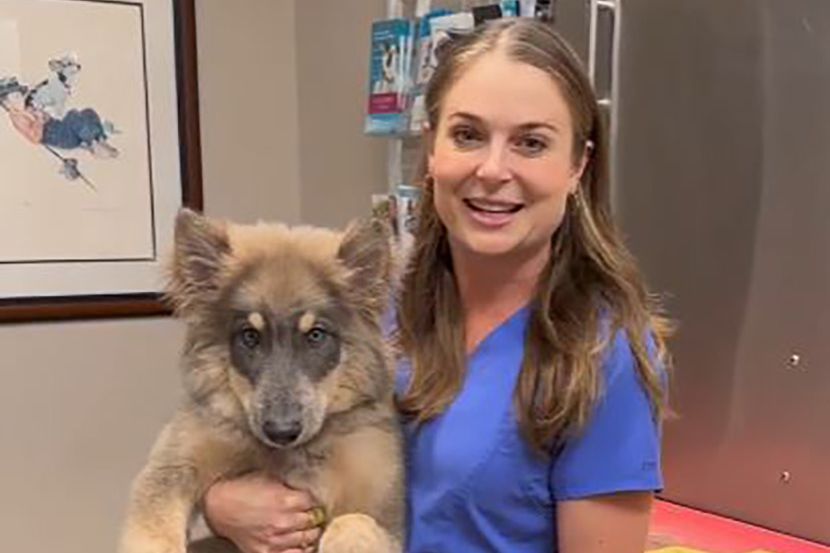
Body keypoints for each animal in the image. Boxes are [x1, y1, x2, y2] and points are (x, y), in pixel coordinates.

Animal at [118, 209, 404, 553]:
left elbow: (355, 521)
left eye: (316, 335)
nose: (281, 431)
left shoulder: (385, 511)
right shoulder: (173, 464)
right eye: (250, 336)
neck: (290, 454)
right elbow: (153, 529)